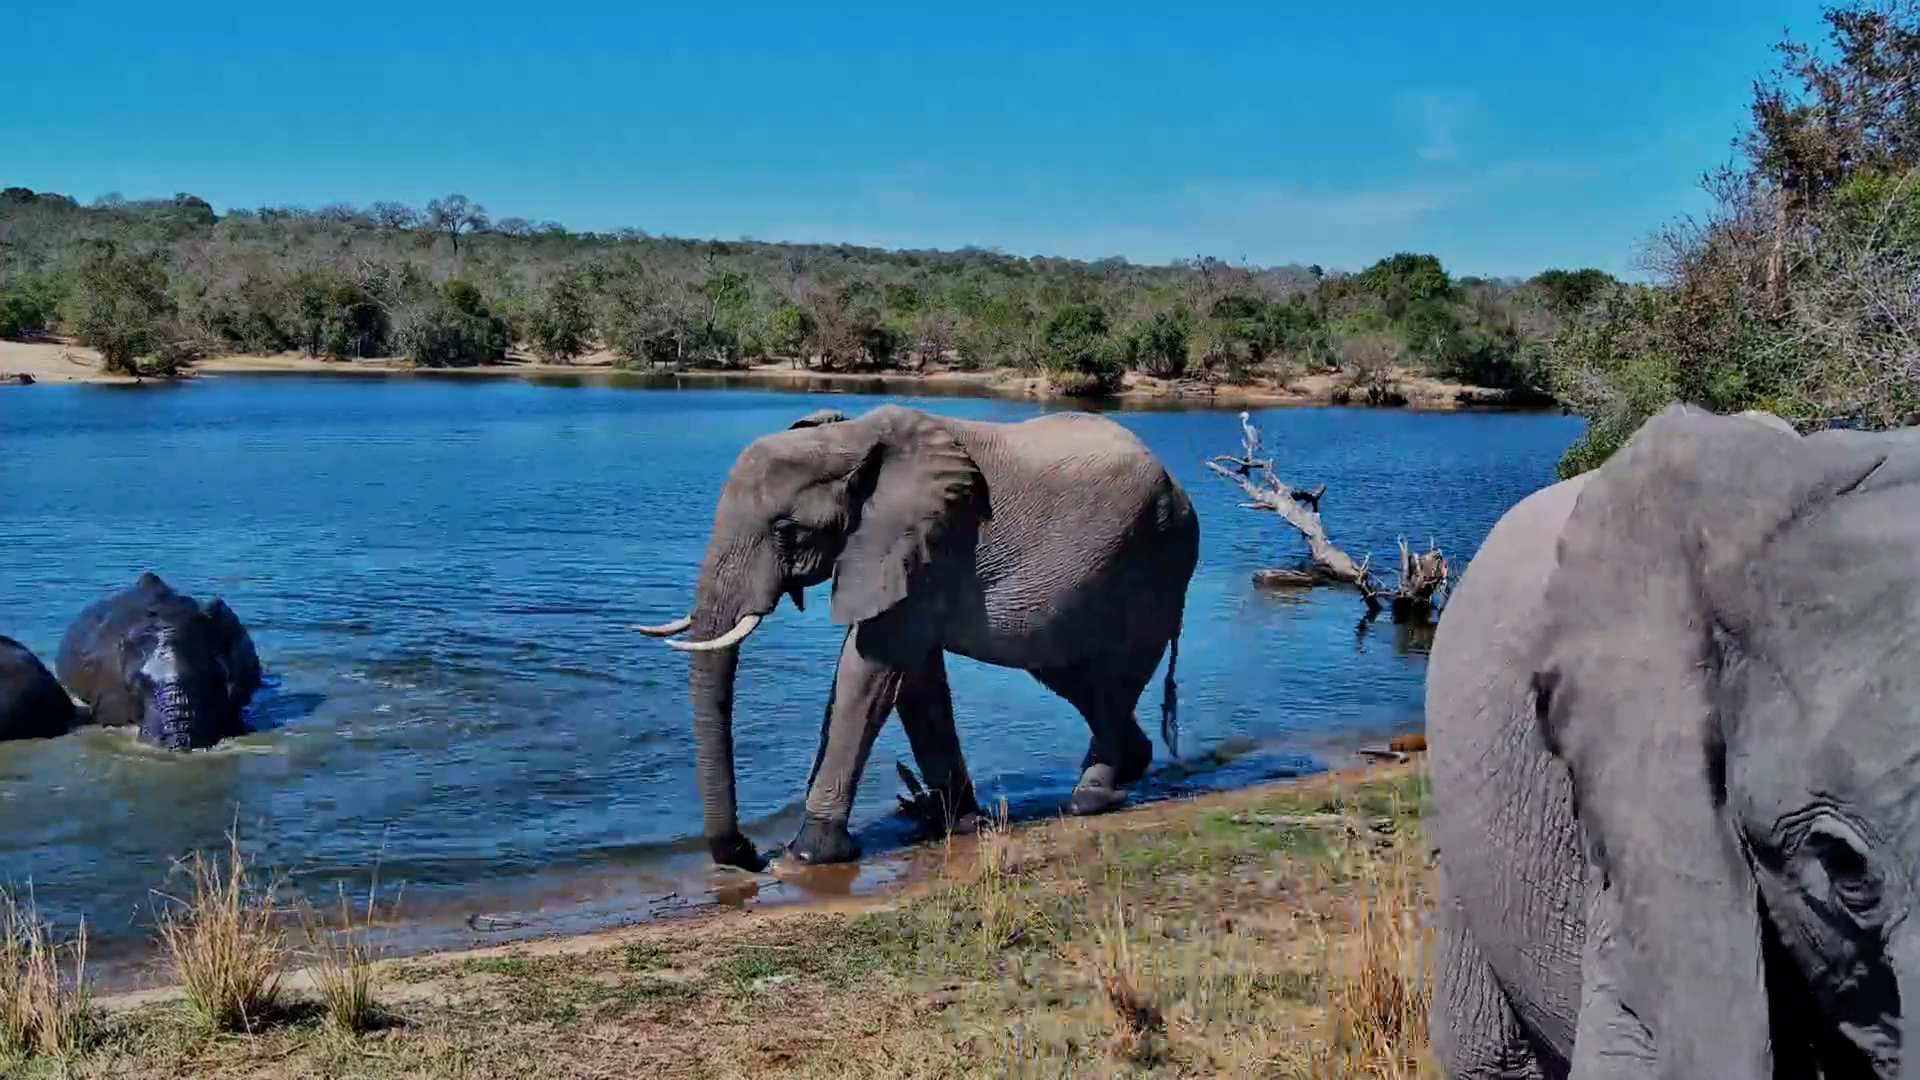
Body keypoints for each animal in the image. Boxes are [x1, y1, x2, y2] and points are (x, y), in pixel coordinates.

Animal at [636, 403, 1200, 871]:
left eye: (784, 531)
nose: (752, 853)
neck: (849, 438)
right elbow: (915, 678)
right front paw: (960, 822)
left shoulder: (931, 538)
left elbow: (871, 668)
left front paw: (809, 853)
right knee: (1071, 674)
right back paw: (1133, 766)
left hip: (1161, 558)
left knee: (1118, 674)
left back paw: (1091, 796)